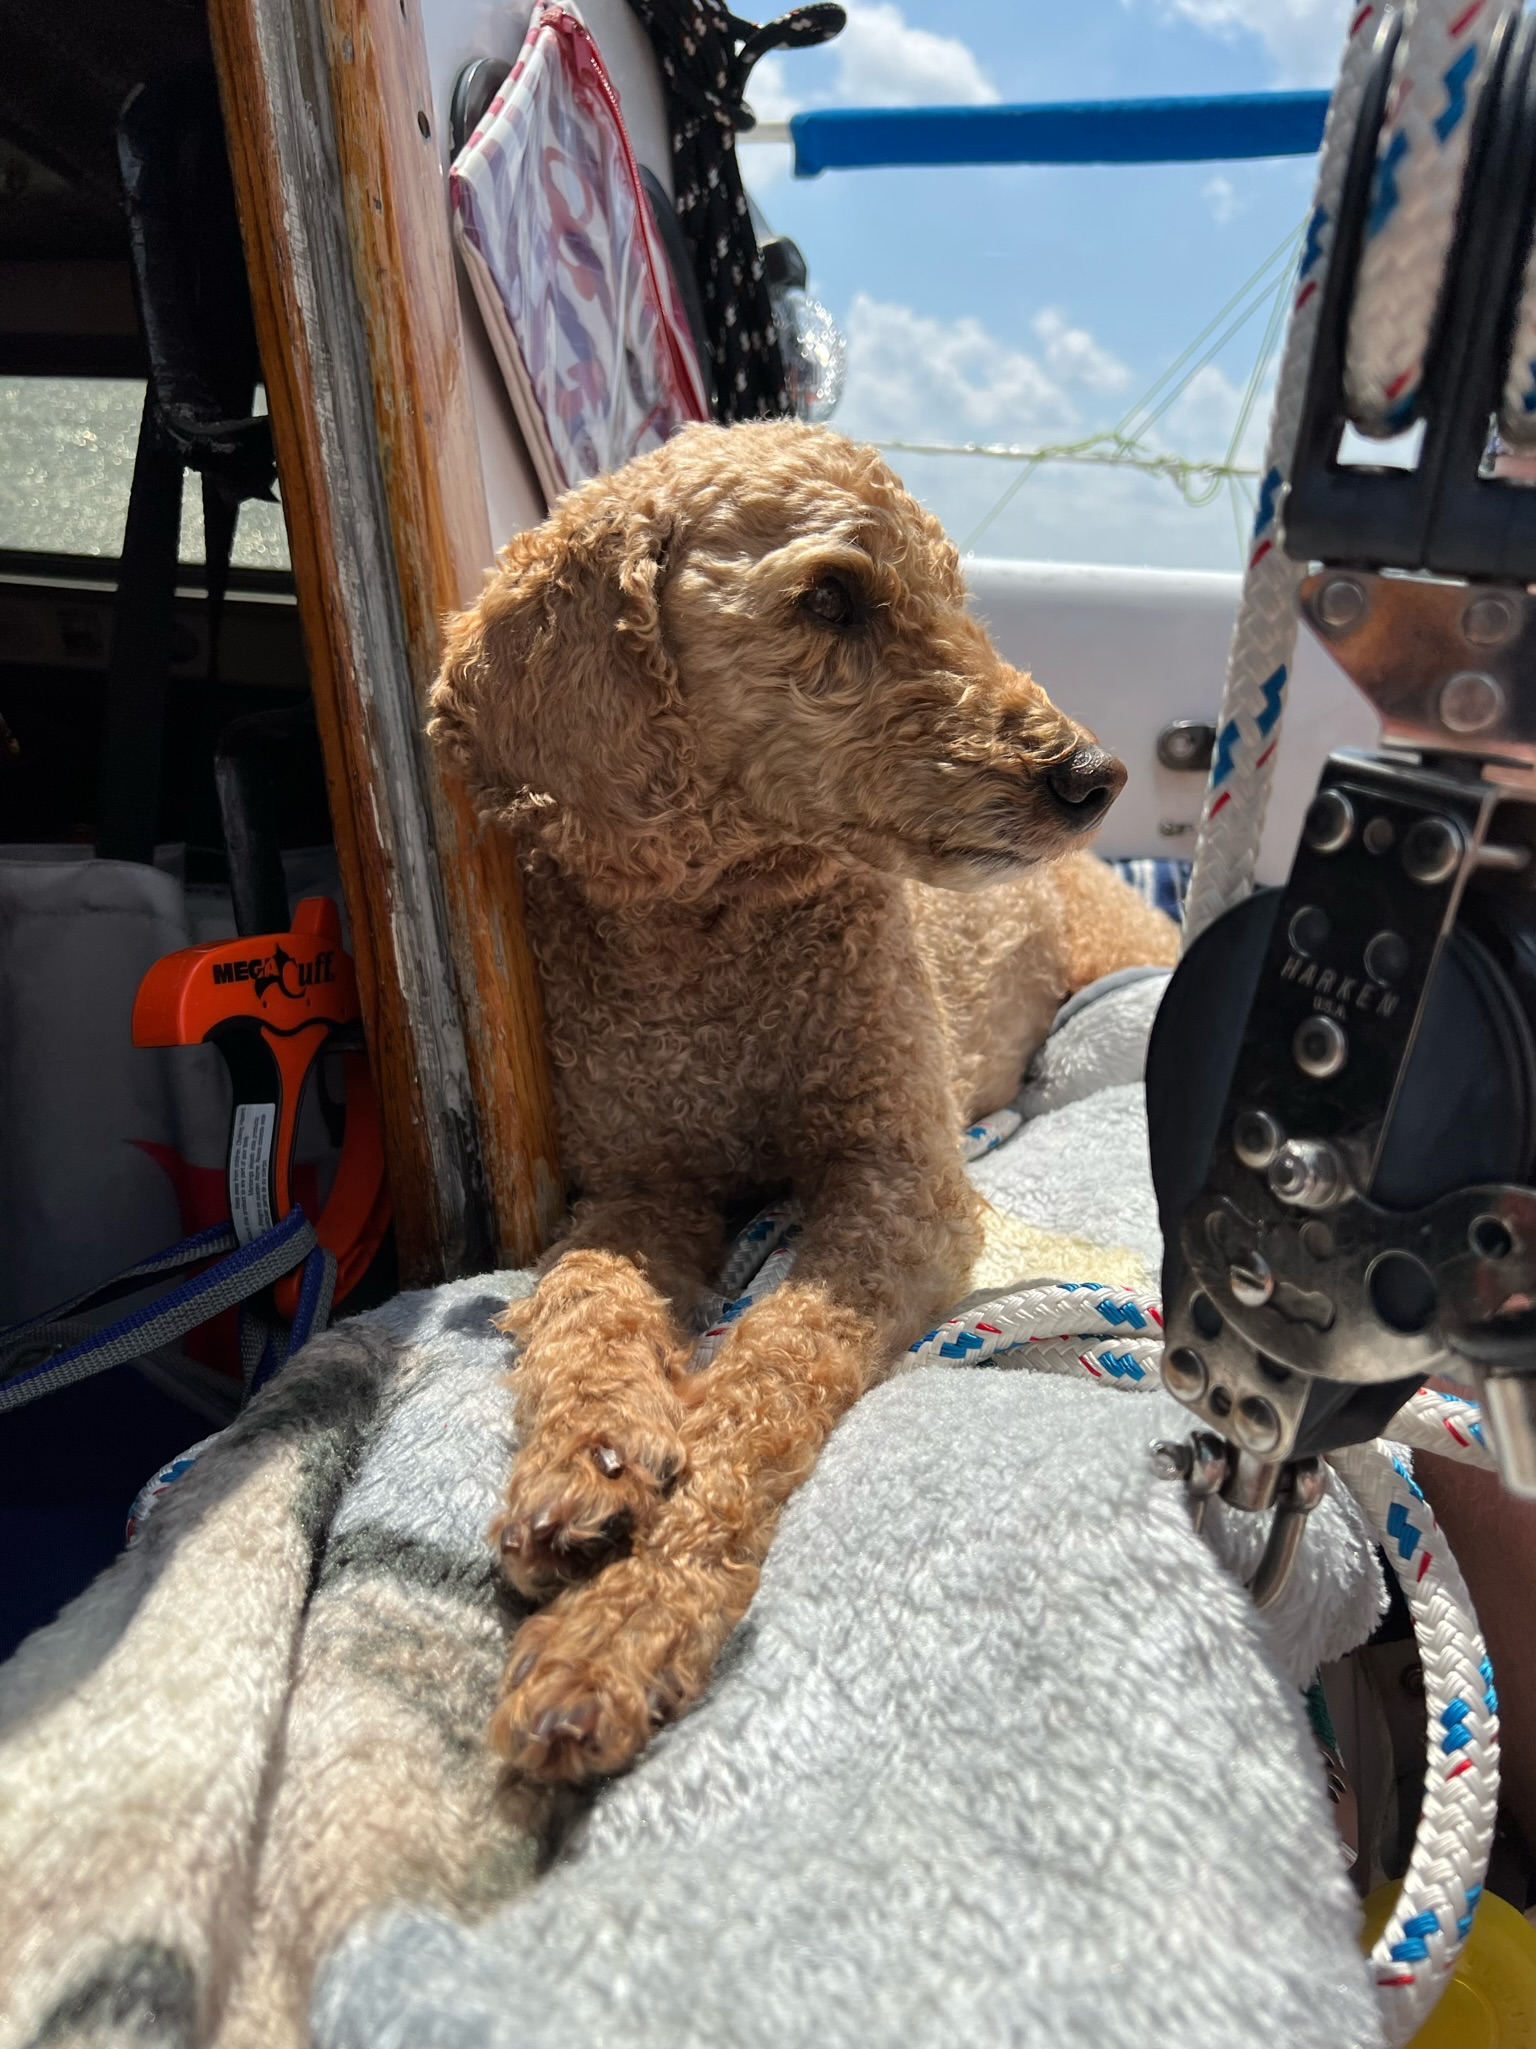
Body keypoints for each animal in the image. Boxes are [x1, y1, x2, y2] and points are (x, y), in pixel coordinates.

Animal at [430, 420, 1179, 1783]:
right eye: (832, 598)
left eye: (954, 590)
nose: (1089, 774)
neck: (716, 914)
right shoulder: (639, 1181)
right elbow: (585, 1301)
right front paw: (587, 1466)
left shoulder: (903, 1186)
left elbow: (769, 1377)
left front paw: (625, 1623)